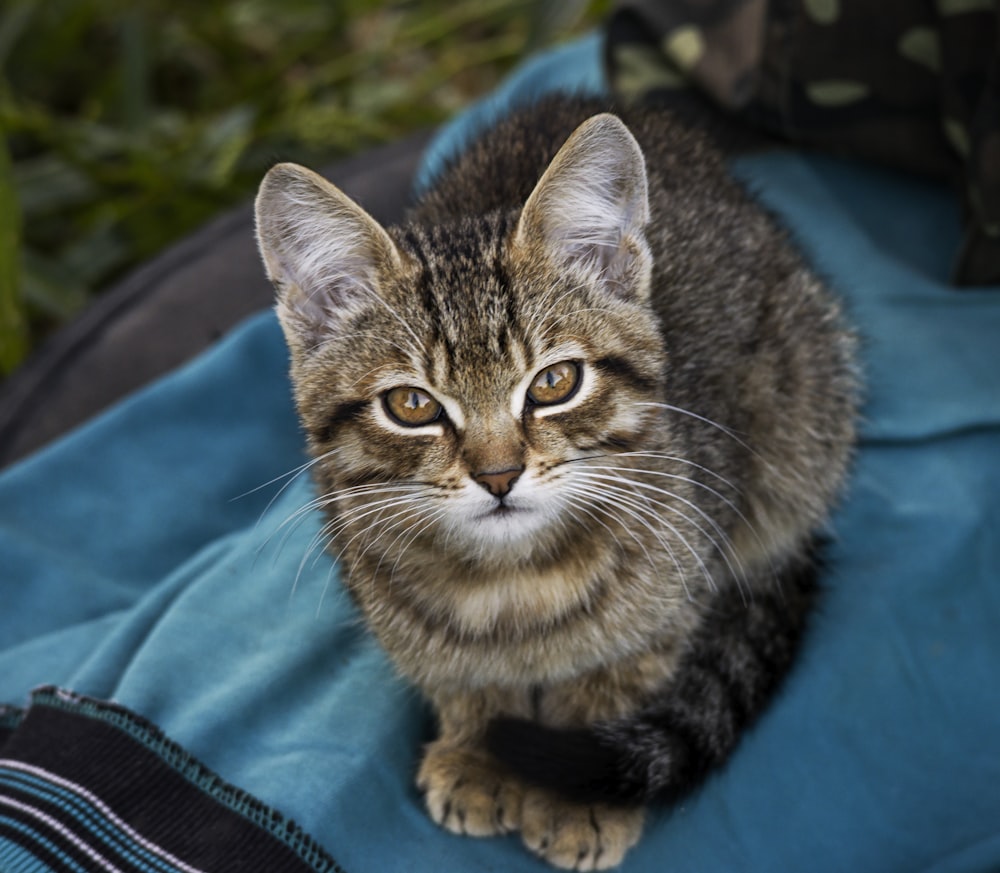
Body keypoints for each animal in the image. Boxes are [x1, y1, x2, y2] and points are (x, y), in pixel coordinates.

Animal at [254, 95, 856, 864]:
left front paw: (576, 800)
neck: (512, 582)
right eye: (412, 404)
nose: (499, 474)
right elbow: (460, 673)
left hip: (807, 407)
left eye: (554, 383)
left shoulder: (674, 598)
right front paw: (477, 750)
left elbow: (616, 678)